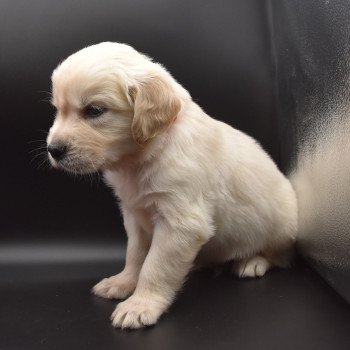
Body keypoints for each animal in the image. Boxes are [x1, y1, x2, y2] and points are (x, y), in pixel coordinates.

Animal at [47, 42, 298, 330]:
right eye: (58, 109)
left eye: (94, 111)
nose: (53, 150)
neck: (140, 159)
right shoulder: (135, 216)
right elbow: (135, 255)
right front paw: (123, 282)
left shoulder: (180, 223)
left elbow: (155, 267)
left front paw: (140, 305)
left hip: (282, 226)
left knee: (279, 255)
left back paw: (252, 262)